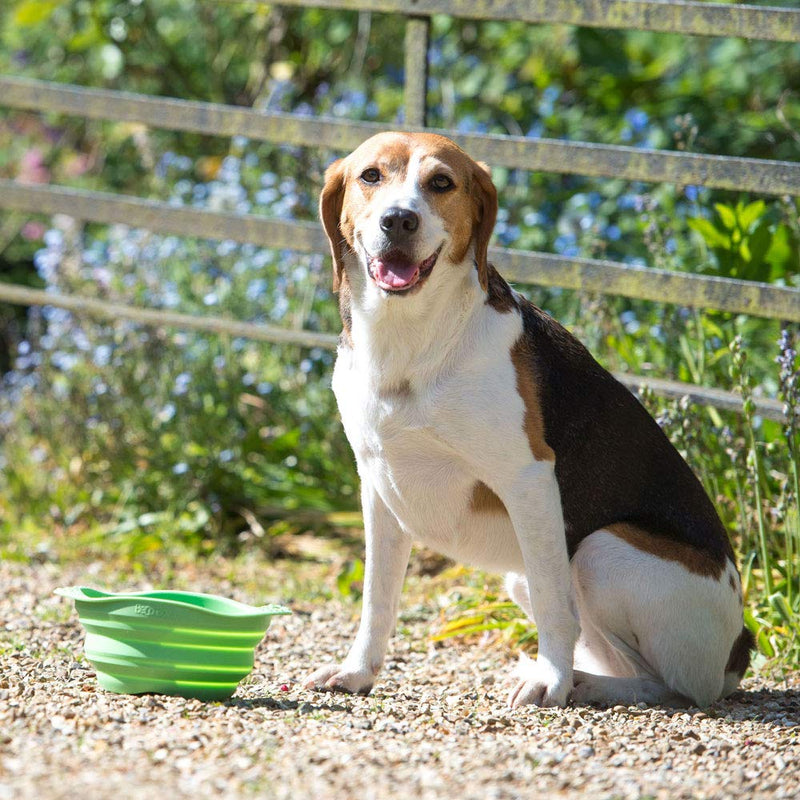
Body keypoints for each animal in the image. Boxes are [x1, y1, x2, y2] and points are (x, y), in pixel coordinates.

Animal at [304, 131, 752, 708]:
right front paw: (358, 672)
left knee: (670, 685)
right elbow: (376, 600)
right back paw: (583, 679)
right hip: (530, 573)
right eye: (370, 176)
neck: (412, 340)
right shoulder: (376, 487)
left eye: (441, 182)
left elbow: (554, 606)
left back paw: (578, 683)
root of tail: (741, 648)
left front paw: (550, 682)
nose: (399, 220)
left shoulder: (530, 480)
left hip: (600, 550)